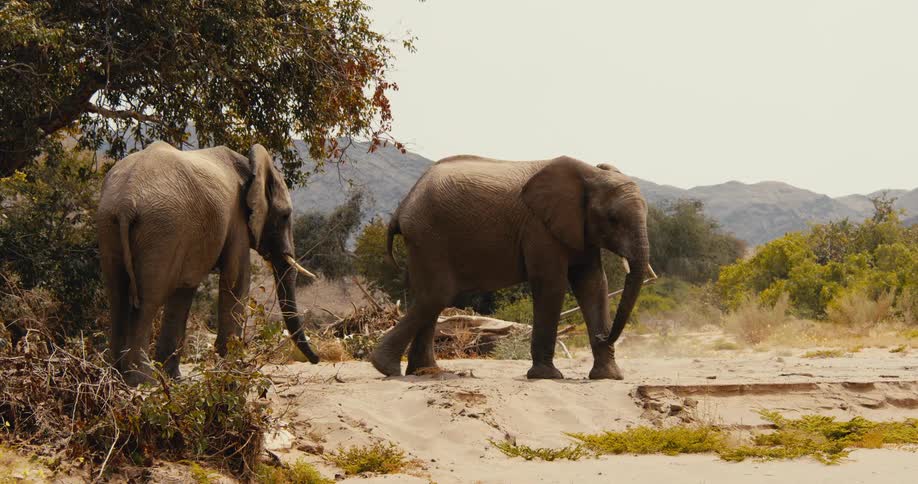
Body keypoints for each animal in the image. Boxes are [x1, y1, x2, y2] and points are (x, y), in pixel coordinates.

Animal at [96, 141, 320, 385]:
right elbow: (236, 280)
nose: (317, 359)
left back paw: (117, 375)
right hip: (161, 229)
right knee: (147, 300)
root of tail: (127, 201)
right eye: (285, 215)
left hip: (111, 224)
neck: (251, 165)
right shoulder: (237, 219)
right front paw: (233, 373)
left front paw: (176, 379)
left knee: (117, 295)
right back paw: (144, 380)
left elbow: (185, 289)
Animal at [370, 155, 654, 380]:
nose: (603, 337)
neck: (590, 174)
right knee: (437, 294)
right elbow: (552, 284)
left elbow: (593, 284)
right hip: (429, 235)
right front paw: (547, 376)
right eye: (613, 219)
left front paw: (608, 377)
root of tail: (404, 204)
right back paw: (387, 368)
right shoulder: (539, 227)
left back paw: (425, 372)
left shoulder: (581, 231)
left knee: (429, 297)